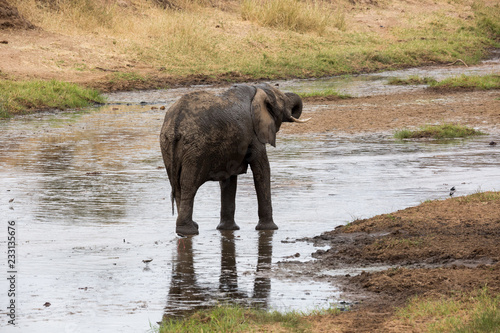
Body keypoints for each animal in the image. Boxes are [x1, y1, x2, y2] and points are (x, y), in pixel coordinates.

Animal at [160, 83, 306, 235]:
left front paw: (228, 229)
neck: (257, 89)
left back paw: (191, 228)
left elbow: (229, 179)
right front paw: (270, 229)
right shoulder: (254, 134)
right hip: (195, 148)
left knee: (177, 186)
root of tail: (176, 123)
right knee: (188, 184)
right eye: (282, 100)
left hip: (167, 145)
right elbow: (262, 170)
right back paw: (188, 231)